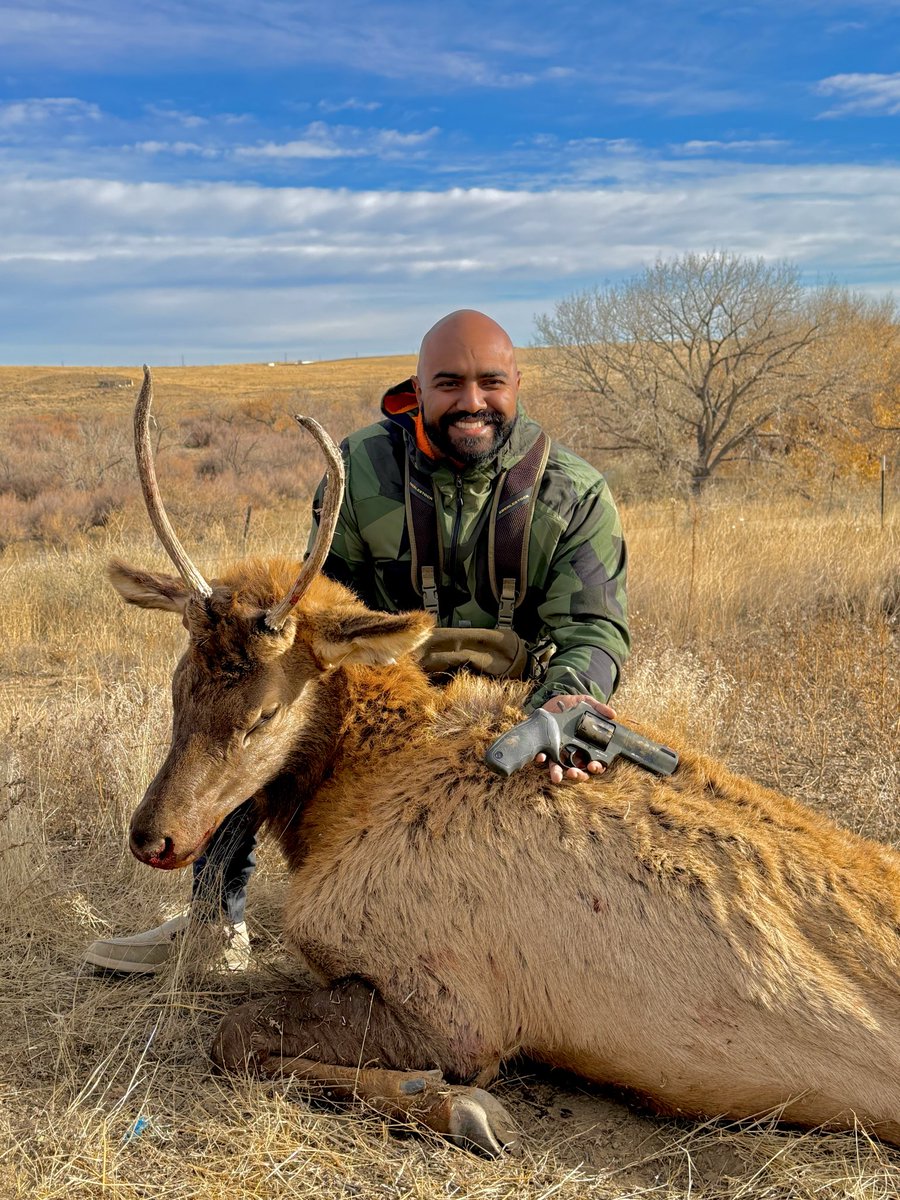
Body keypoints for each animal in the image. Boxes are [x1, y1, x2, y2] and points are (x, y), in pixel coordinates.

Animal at [114, 368, 900, 1156]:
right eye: (179, 683)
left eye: (266, 713)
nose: (154, 836)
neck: (349, 794)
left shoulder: (453, 1008)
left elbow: (237, 1033)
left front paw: (460, 1105)